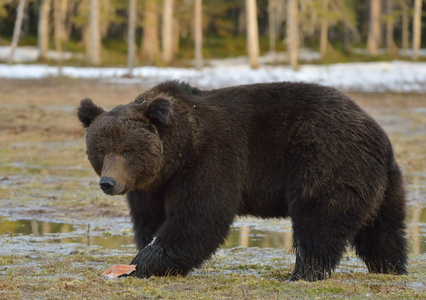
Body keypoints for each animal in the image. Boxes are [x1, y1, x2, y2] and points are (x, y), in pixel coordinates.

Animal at [78, 80, 408, 282]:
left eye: (126, 150)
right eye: (100, 150)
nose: (109, 182)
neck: (177, 153)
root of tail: (378, 135)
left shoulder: (212, 157)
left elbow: (199, 215)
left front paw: (142, 263)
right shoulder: (150, 187)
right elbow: (150, 220)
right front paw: (142, 254)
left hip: (326, 157)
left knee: (319, 220)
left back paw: (303, 272)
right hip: (381, 184)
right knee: (383, 231)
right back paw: (391, 268)